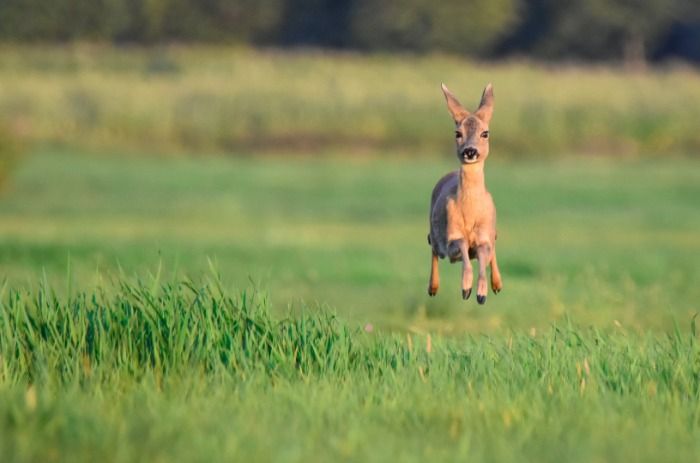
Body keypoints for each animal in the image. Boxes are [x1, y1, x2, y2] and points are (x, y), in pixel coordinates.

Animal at [426, 84, 504, 304]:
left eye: (485, 133)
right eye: (457, 133)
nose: (470, 151)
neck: (470, 214)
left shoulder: (484, 237)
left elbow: (483, 260)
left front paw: (481, 293)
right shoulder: (452, 237)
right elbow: (463, 248)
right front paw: (466, 289)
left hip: (492, 232)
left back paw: (497, 285)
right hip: (436, 236)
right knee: (432, 245)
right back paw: (433, 288)